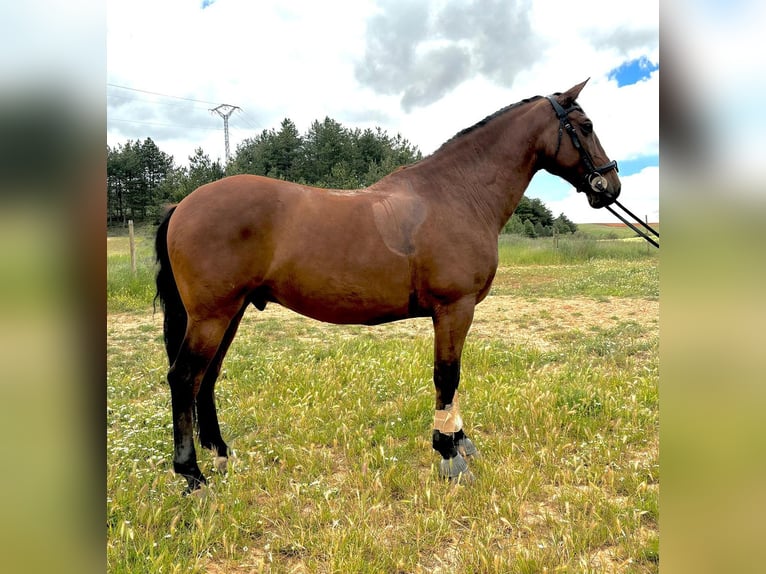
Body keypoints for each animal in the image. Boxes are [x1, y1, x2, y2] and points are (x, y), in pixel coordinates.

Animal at [156, 80, 624, 496]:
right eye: (585, 126)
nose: (610, 185)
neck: (458, 194)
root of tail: (184, 204)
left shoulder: (456, 311)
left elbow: (452, 378)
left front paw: (460, 441)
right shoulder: (455, 307)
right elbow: (447, 375)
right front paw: (450, 455)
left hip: (230, 312)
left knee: (208, 377)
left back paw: (220, 454)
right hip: (212, 315)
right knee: (184, 377)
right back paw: (193, 477)